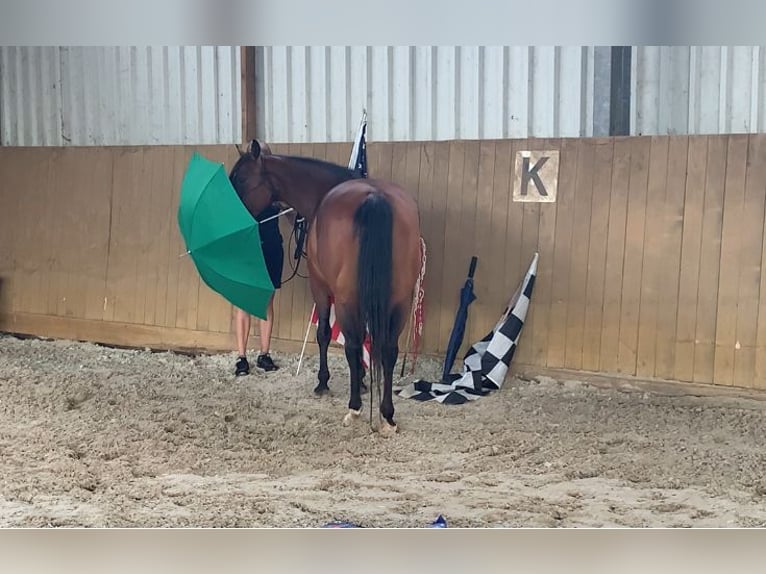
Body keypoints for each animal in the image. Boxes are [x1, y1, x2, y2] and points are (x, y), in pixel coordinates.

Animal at [228, 141, 426, 436]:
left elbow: (323, 334)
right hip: (399, 300)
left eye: (241, 179)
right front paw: (364, 381)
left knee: (353, 346)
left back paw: (354, 409)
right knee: (389, 350)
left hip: (346, 299)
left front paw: (323, 382)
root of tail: (374, 198)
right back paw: (387, 415)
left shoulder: (320, 288)